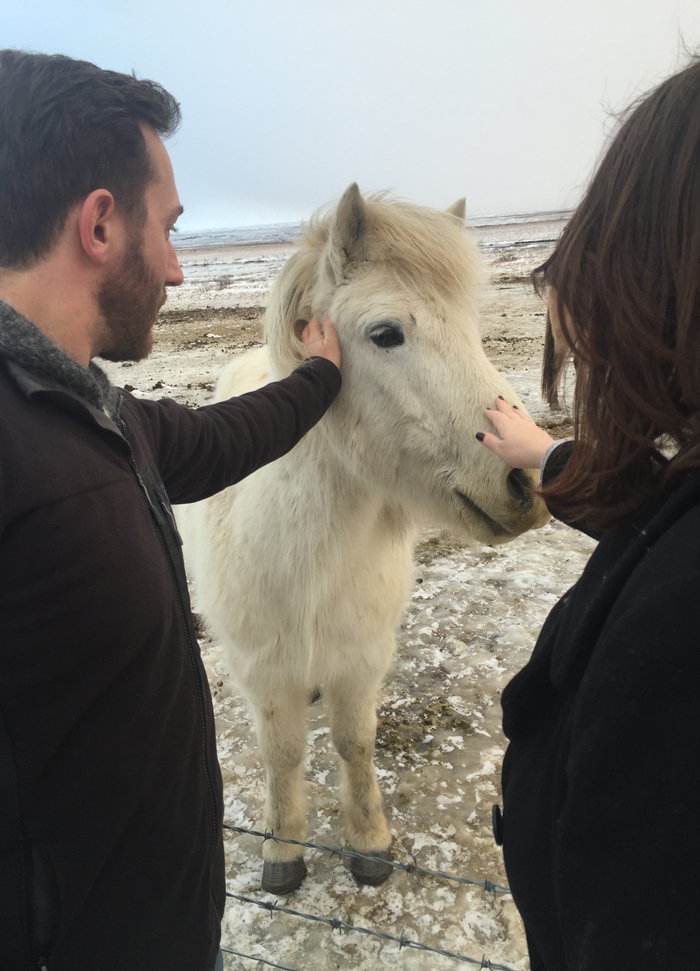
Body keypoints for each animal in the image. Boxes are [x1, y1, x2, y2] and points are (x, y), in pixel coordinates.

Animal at [178, 184, 548, 896]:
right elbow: (283, 752)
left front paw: (369, 842)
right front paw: (284, 851)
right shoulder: (264, 670)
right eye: (385, 334)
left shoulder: (359, 658)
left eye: (470, 329)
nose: (526, 478)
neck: (305, 561)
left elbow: (354, 743)